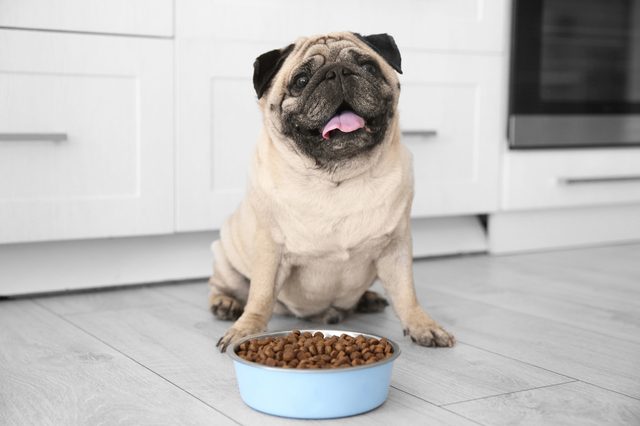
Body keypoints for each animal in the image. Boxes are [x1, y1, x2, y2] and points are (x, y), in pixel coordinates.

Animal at [210, 30, 456, 352]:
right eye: (301, 80)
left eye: (368, 67)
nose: (337, 72)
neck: (337, 176)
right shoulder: (270, 249)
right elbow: (260, 296)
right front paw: (246, 329)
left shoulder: (395, 246)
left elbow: (406, 292)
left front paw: (422, 325)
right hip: (225, 254)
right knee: (225, 286)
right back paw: (224, 303)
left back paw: (368, 299)